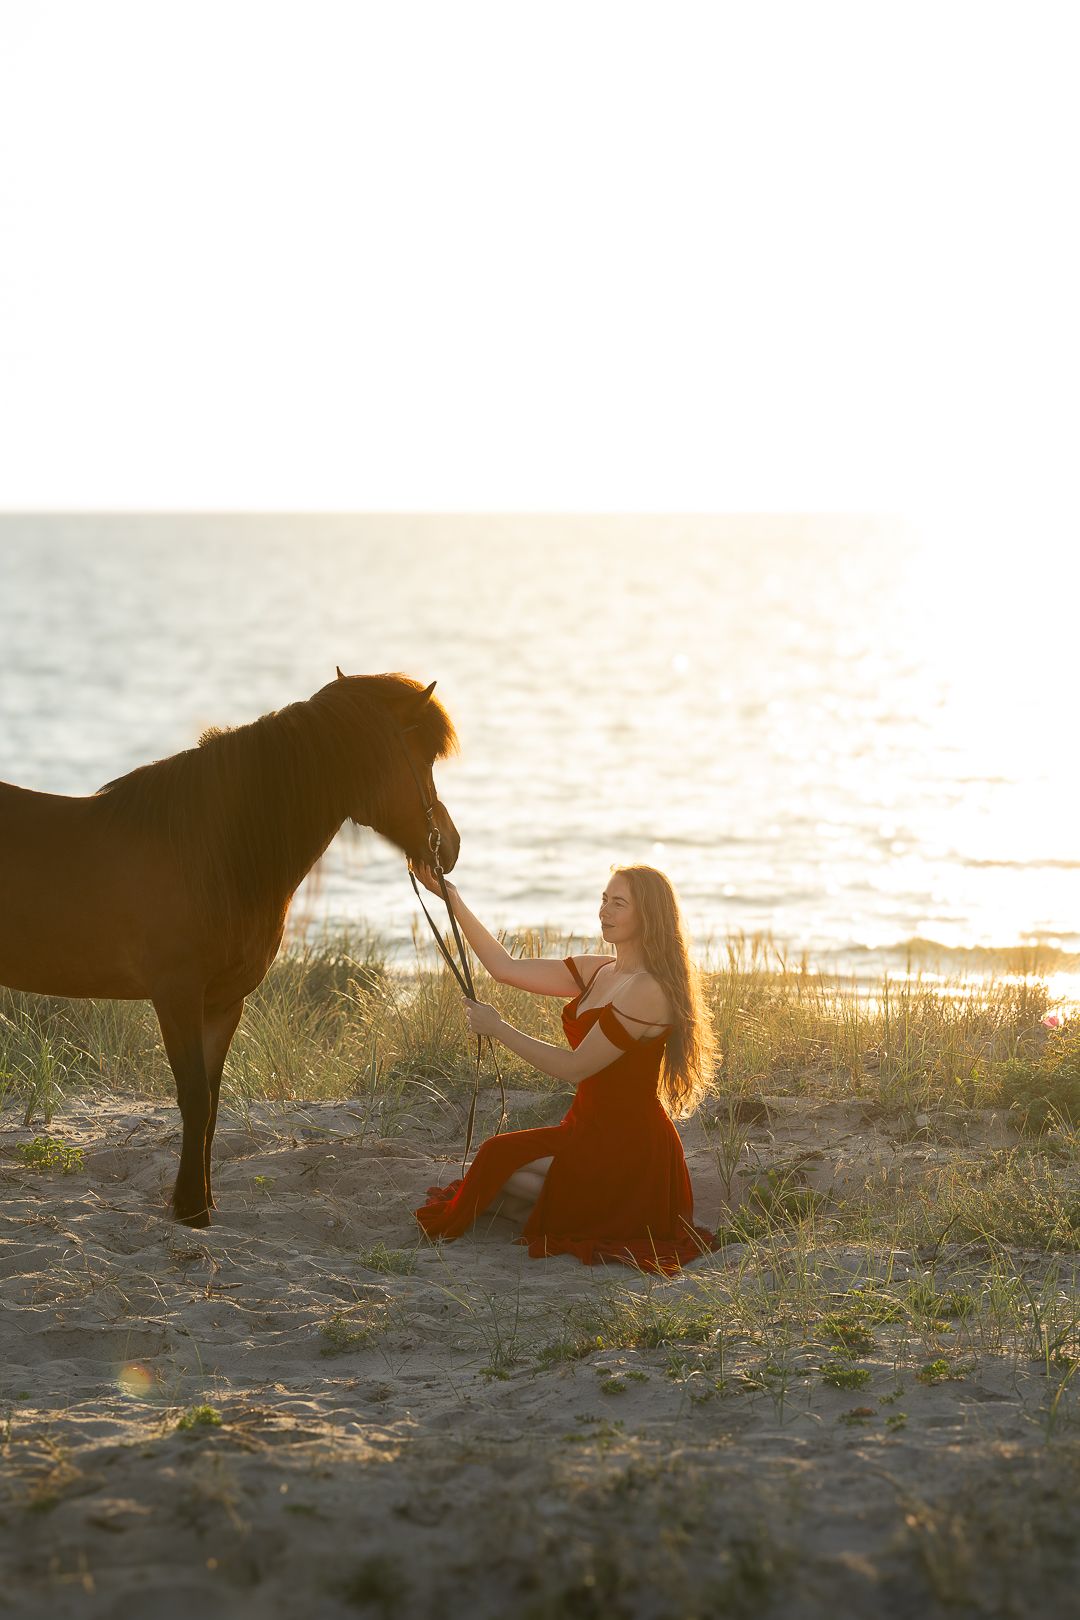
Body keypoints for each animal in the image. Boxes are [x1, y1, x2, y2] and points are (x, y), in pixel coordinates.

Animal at [0, 669, 460, 1226]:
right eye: (422, 757)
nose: (449, 846)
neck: (213, 853)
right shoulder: (176, 995)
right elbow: (194, 1098)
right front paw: (191, 1209)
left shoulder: (223, 1001)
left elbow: (213, 1102)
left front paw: (201, 1202)